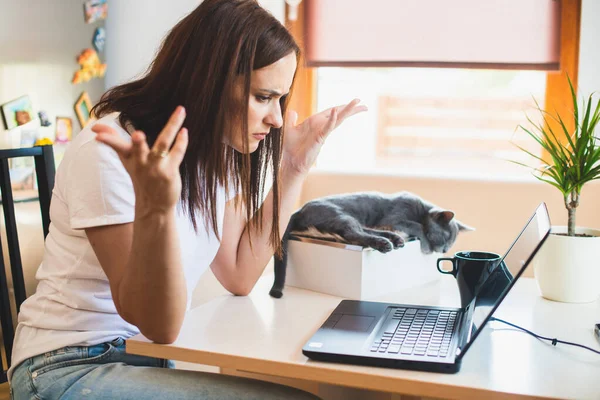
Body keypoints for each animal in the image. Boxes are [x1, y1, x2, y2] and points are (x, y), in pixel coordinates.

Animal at [270, 191, 474, 296]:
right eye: (446, 237)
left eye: (451, 242)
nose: (445, 250)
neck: (421, 210)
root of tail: (298, 210)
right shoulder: (395, 218)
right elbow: (416, 226)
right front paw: (424, 245)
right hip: (340, 214)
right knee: (353, 233)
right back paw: (385, 243)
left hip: (353, 219)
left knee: (364, 230)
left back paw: (393, 239)